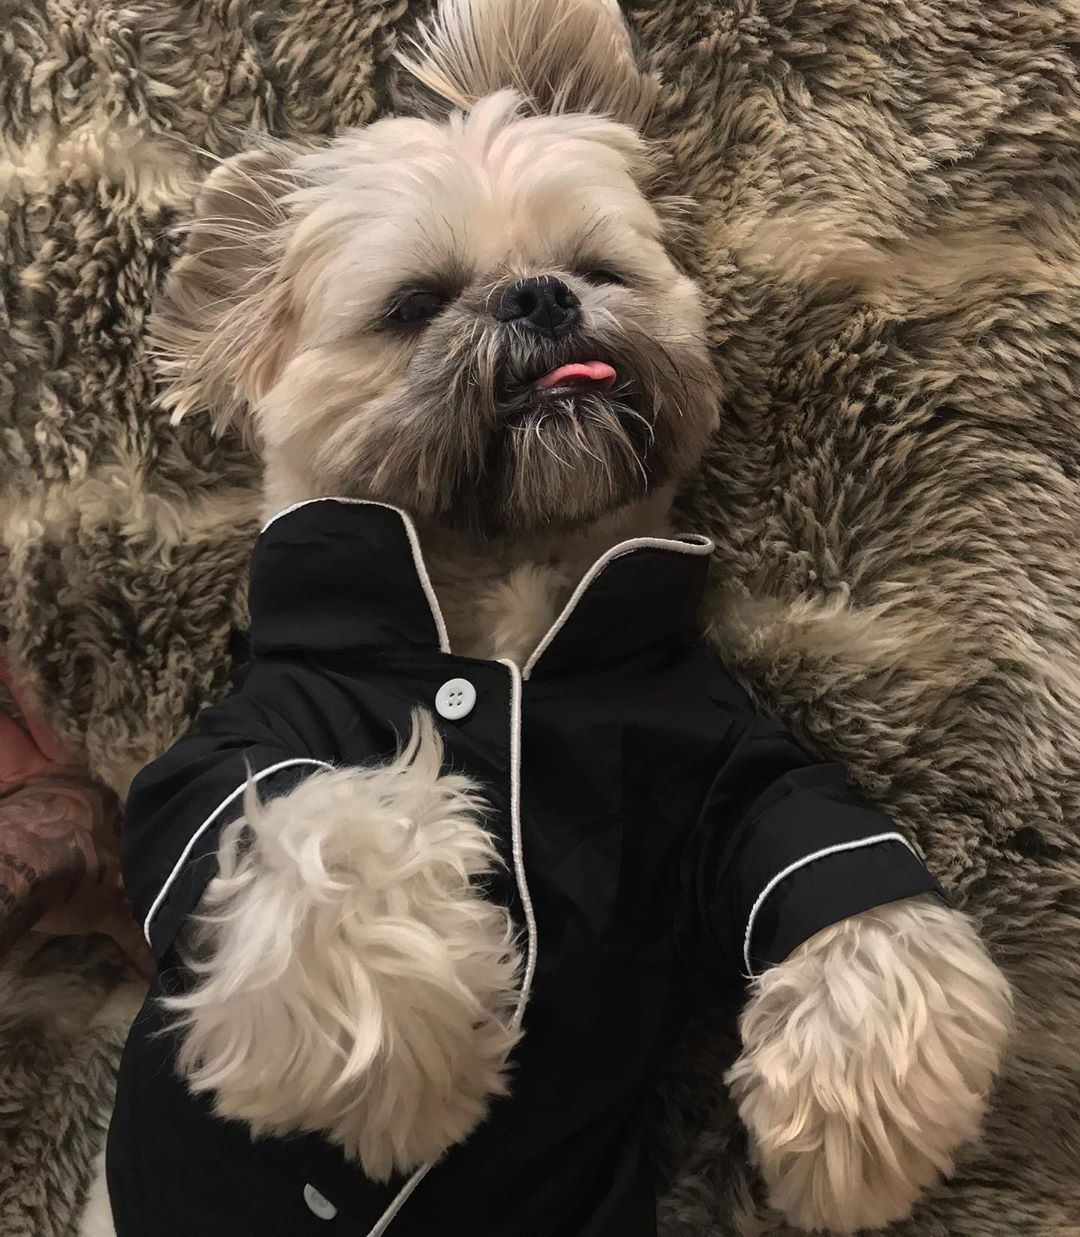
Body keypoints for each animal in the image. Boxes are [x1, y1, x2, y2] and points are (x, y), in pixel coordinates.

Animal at [107, 0, 1009, 1232]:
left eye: (594, 267)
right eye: (413, 305)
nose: (540, 295)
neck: (508, 612)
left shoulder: (734, 777)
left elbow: (844, 868)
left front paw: (860, 1105)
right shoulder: (217, 766)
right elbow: (329, 825)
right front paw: (409, 1064)